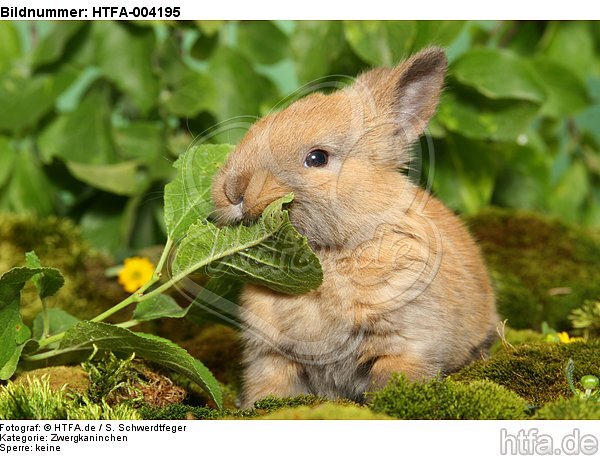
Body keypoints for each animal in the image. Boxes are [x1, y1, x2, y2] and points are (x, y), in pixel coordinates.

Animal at [211, 48, 496, 408]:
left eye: (317, 158)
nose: (233, 189)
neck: (330, 257)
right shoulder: (270, 356)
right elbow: (268, 388)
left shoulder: (405, 346)